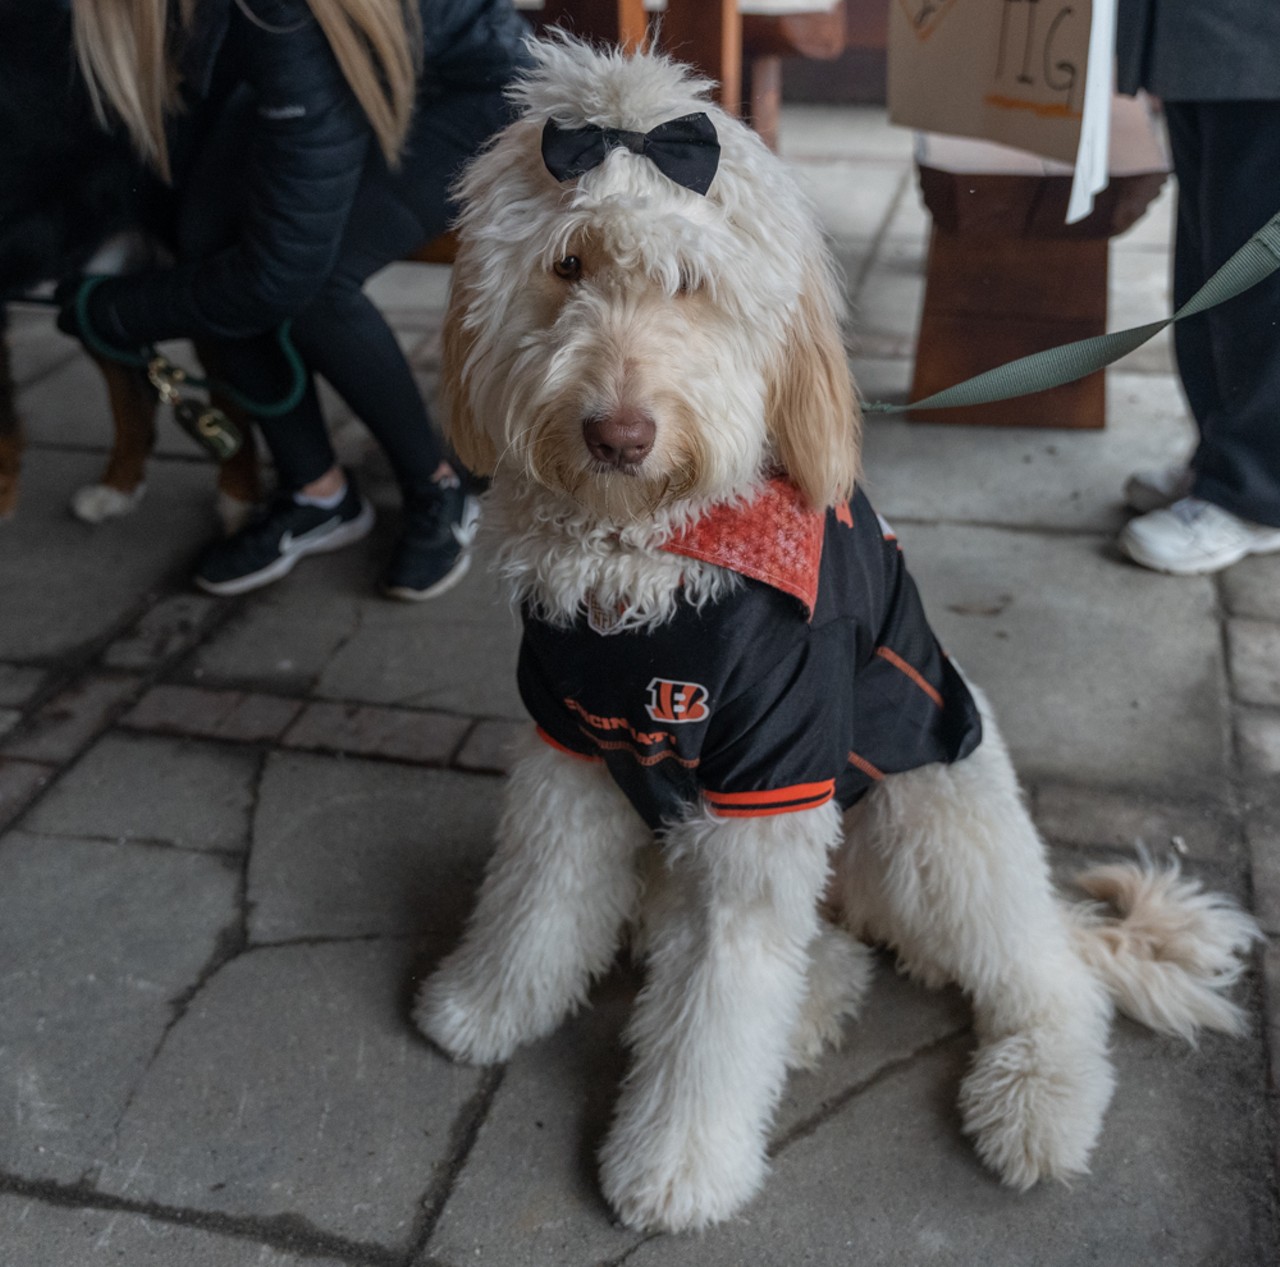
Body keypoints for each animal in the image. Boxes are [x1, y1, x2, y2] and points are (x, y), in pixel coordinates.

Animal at [412, 39, 1259, 1238]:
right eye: (568, 264)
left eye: (692, 281)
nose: (618, 433)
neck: (652, 551)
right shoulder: (567, 748)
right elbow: (537, 896)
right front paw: (485, 1004)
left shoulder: (771, 783)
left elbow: (721, 999)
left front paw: (677, 1162)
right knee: (828, 945)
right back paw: (816, 1004)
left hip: (930, 828)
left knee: (1045, 976)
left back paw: (1035, 1099)